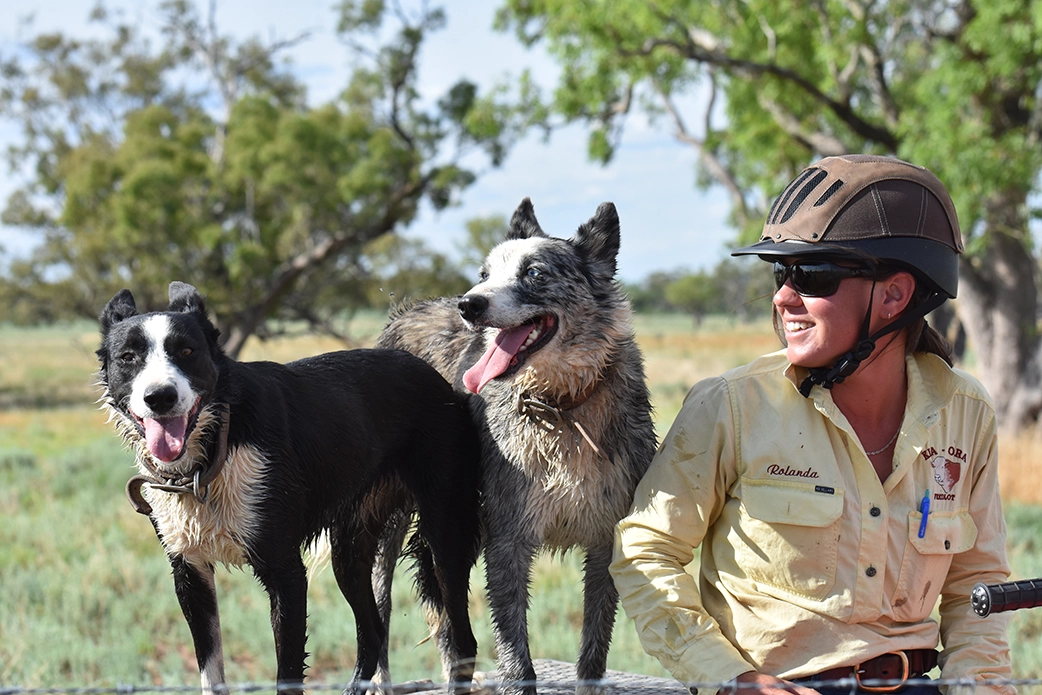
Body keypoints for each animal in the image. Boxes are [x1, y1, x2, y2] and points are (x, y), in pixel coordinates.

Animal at [97, 283, 479, 695]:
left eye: (187, 351)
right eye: (128, 357)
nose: (160, 397)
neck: (213, 452)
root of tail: (433, 375)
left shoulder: (286, 574)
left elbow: (288, 674)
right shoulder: (190, 572)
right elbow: (211, 673)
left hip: (443, 534)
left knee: (463, 640)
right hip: (349, 548)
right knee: (374, 632)